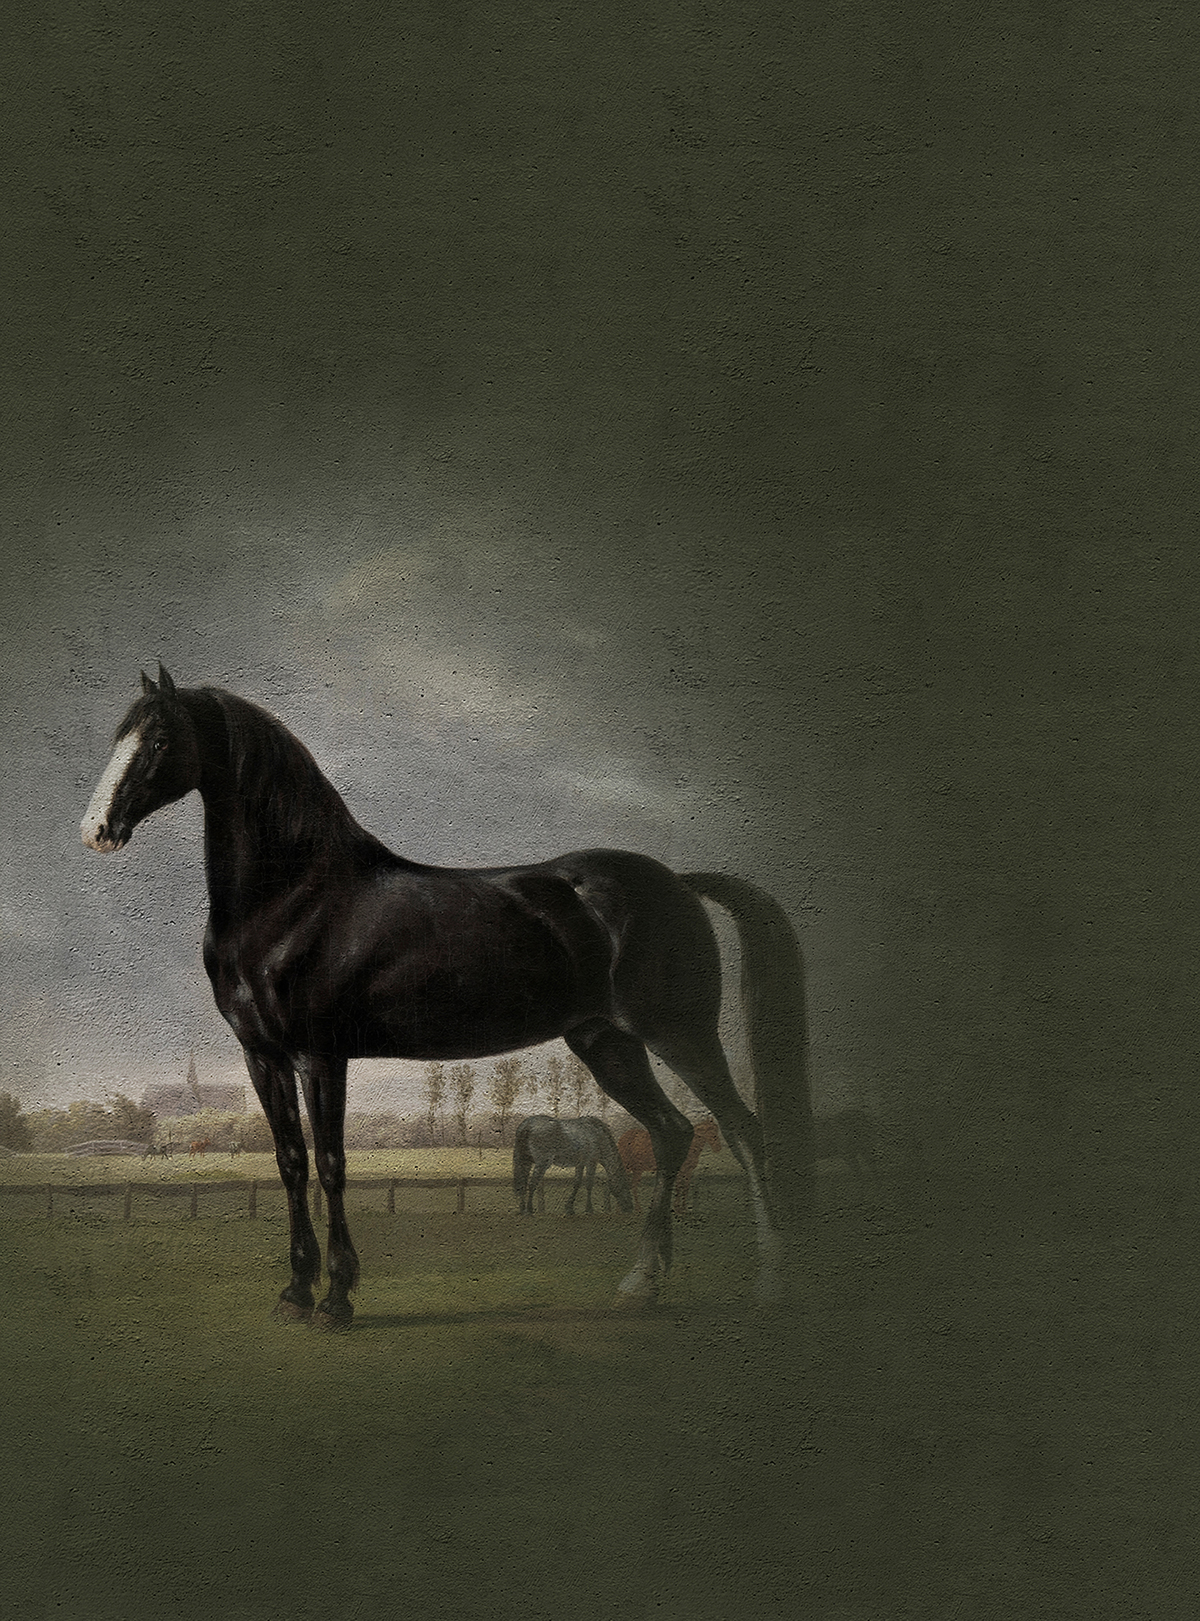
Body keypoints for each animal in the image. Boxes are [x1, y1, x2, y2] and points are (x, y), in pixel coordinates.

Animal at [81, 666, 813, 1327]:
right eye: (118, 734)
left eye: (157, 740)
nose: (97, 829)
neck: (297, 898)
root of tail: (679, 884)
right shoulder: (263, 1057)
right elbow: (291, 1164)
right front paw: (294, 1293)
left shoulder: (322, 1056)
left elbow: (332, 1164)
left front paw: (338, 1299)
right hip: (607, 1044)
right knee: (672, 1132)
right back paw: (640, 1284)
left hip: (681, 1035)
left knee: (743, 1132)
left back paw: (771, 1284)